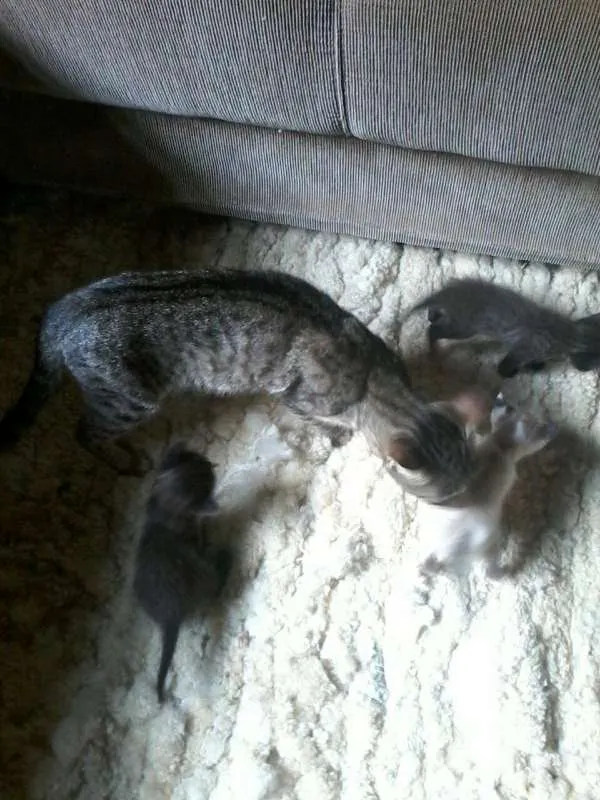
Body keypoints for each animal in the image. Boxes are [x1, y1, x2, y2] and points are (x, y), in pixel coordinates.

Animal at [0, 268, 490, 502]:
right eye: (447, 498)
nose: (466, 498)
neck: (373, 379)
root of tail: (62, 310)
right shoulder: (295, 396)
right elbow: (319, 421)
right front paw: (336, 436)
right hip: (129, 398)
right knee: (84, 431)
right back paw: (124, 457)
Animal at [133, 443, 231, 703]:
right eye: (209, 479)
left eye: (200, 460)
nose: (212, 463)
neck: (165, 508)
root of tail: (170, 615)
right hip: (201, 575)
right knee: (216, 585)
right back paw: (226, 558)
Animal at [400, 277, 600, 377]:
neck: (568, 333)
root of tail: (450, 294)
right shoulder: (525, 348)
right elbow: (507, 364)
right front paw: (508, 373)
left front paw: (536, 366)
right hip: (463, 327)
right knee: (433, 331)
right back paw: (432, 351)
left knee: (434, 313)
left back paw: (432, 314)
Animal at [416, 392, 557, 580]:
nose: (553, 427)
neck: (498, 444)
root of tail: (443, 551)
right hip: (490, 546)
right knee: (489, 572)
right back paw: (505, 572)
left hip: (428, 541)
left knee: (426, 563)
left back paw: (424, 573)